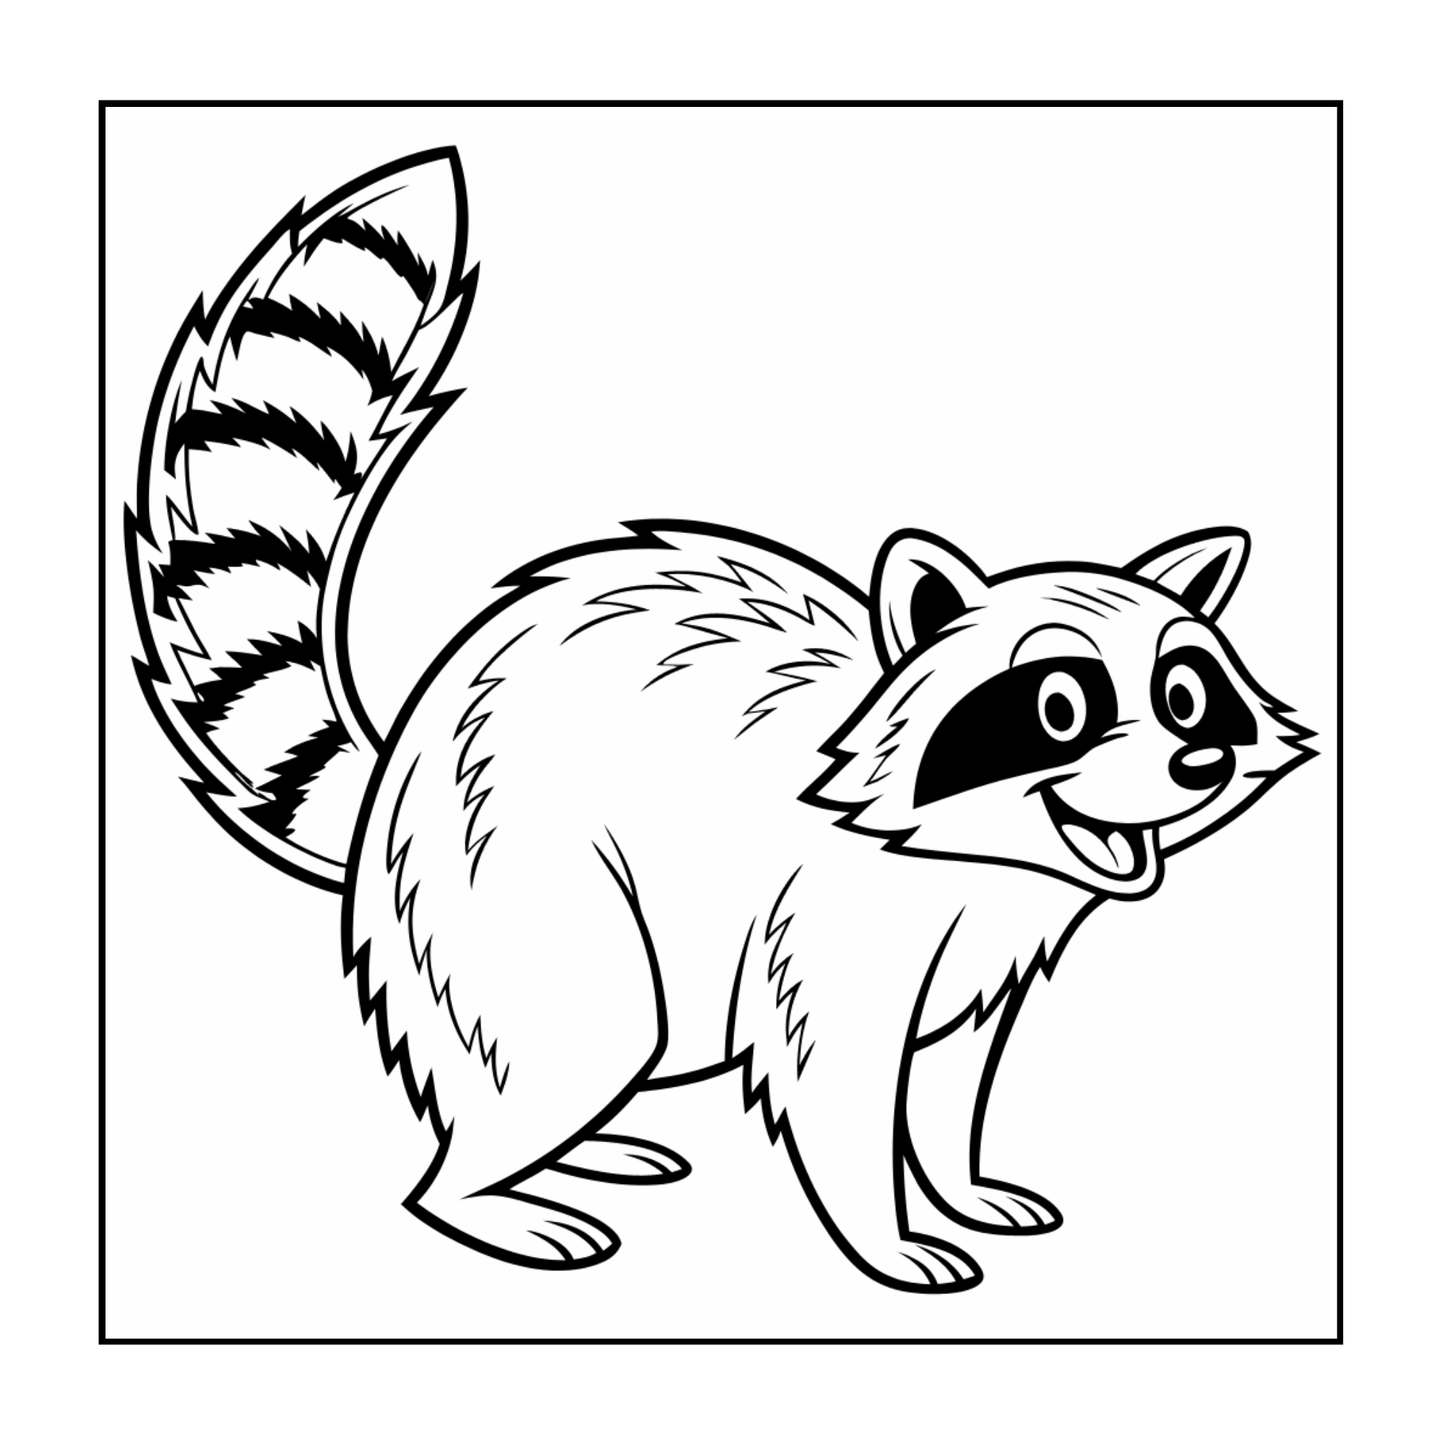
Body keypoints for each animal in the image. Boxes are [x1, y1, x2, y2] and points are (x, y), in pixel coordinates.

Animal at [126, 150, 1314, 1292]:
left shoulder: (981, 950)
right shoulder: (828, 922)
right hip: (520, 892)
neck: (978, 857)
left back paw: (576, 1148)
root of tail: (397, 774)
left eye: (1184, 694)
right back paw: (490, 1188)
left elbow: (945, 1078)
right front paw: (884, 1233)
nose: (1198, 757)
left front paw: (956, 1183)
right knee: (571, 1039)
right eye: (1061, 707)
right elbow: (835, 1085)